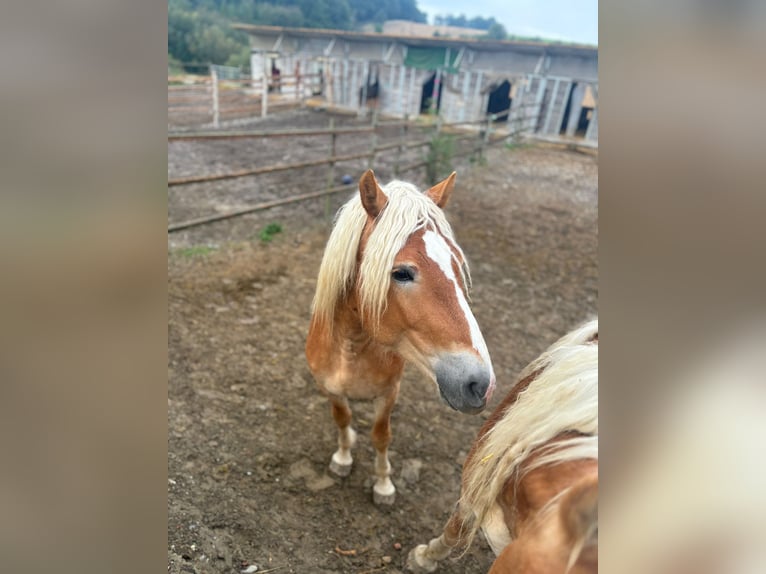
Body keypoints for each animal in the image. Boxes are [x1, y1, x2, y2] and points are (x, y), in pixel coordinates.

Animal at [306, 169, 498, 506]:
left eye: (458, 264)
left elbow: (381, 436)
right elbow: (342, 419)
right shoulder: (329, 388)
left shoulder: (389, 393)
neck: (350, 348)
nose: (480, 384)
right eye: (401, 273)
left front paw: (383, 486)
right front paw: (342, 459)